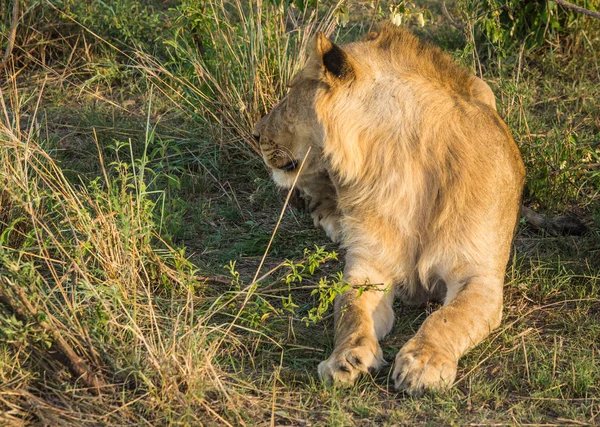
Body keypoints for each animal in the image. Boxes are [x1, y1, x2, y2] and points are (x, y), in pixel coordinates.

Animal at [255, 24, 528, 398]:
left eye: (291, 91)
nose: (256, 135)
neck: (395, 168)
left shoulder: (479, 277)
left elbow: (448, 318)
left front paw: (424, 364)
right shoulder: (368, 267)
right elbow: (350, 311)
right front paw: (345, 358)